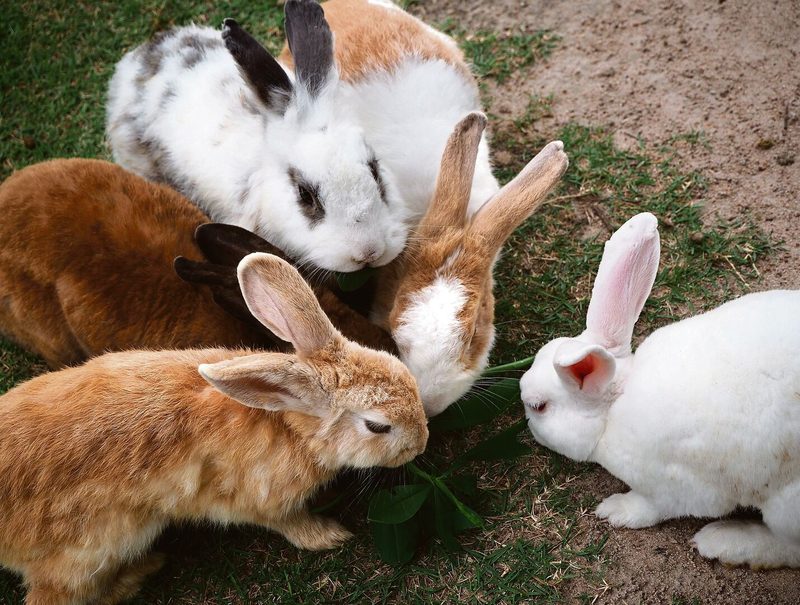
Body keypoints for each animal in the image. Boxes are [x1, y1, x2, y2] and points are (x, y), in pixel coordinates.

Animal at [0, 252, 428, 605]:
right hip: (95, 551)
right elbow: (288, 523)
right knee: (55, 594)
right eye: (377, 426)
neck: (290, 424)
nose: (422, 443)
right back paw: (140, 572)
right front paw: (329, 536)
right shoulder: (263, 500)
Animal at [520, 212, 800, 568]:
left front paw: (616, 511)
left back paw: (724, 542)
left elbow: (654, 507)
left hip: (786, 507)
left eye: (538, 406)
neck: (613, 408)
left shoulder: (677, 487)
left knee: (789, 546)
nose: (526, 422)